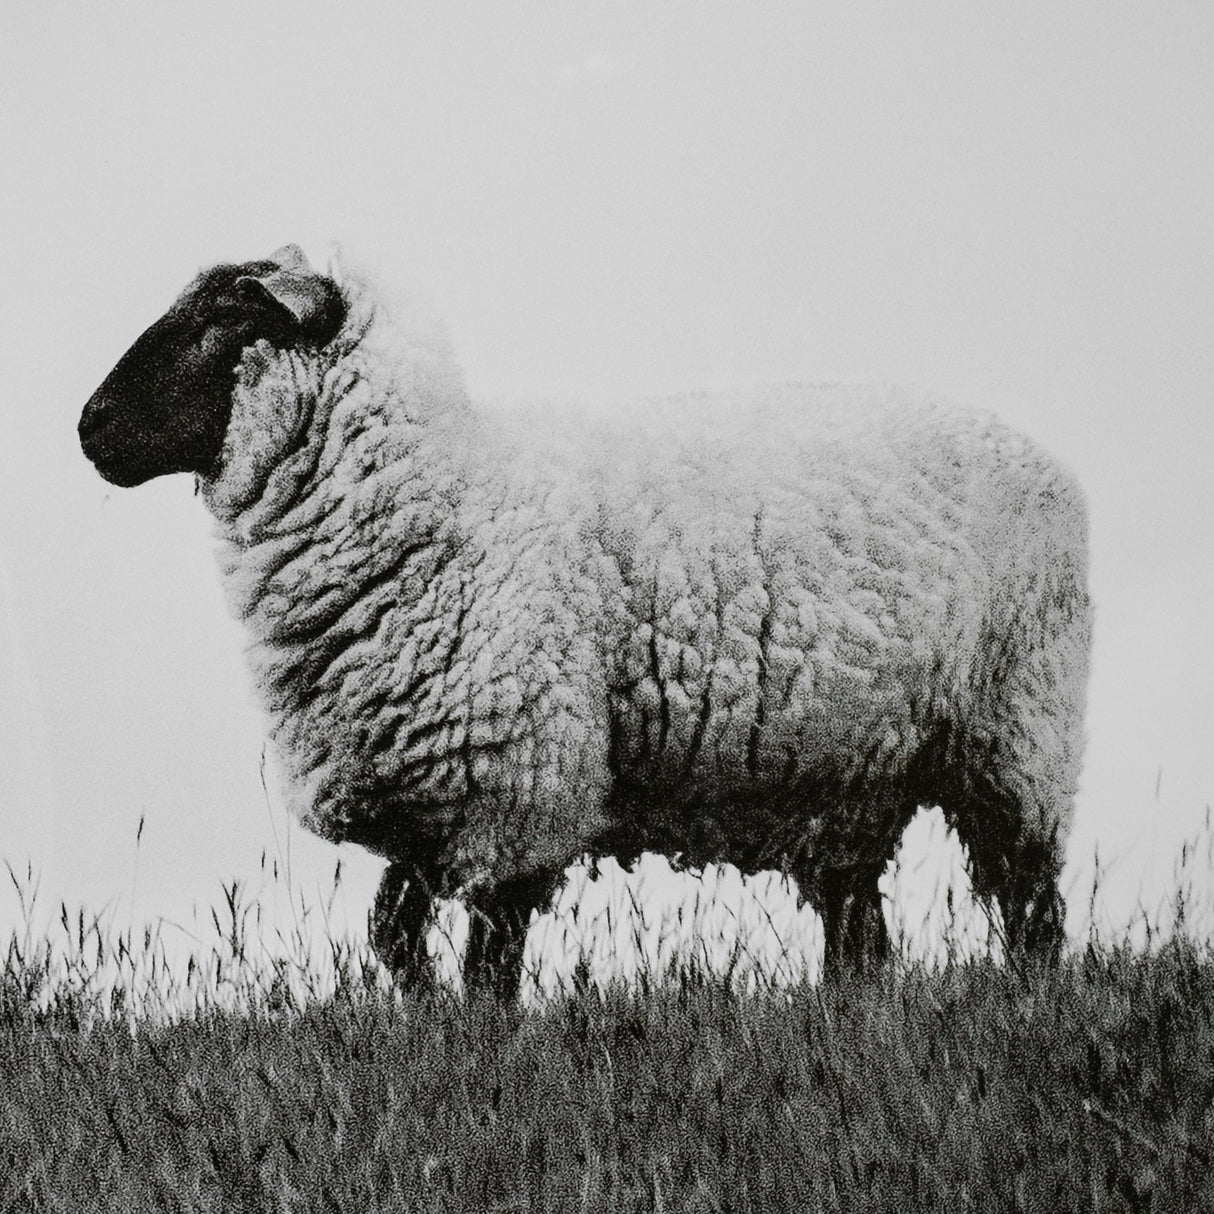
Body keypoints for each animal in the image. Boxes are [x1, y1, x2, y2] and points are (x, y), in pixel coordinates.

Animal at [78, 244, 1092, 999]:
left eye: (224, 319)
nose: (88, 427)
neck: (446, 498)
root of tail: (1044, 455)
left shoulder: (520, 783)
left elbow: (487, 966)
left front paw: (478, 1050)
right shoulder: (430, 796)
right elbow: (393, 938)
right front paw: (425, 1023)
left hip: (1016, 733)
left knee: (1032, 911)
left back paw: (1030, 1005)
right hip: (846, 775)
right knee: (859, 939)